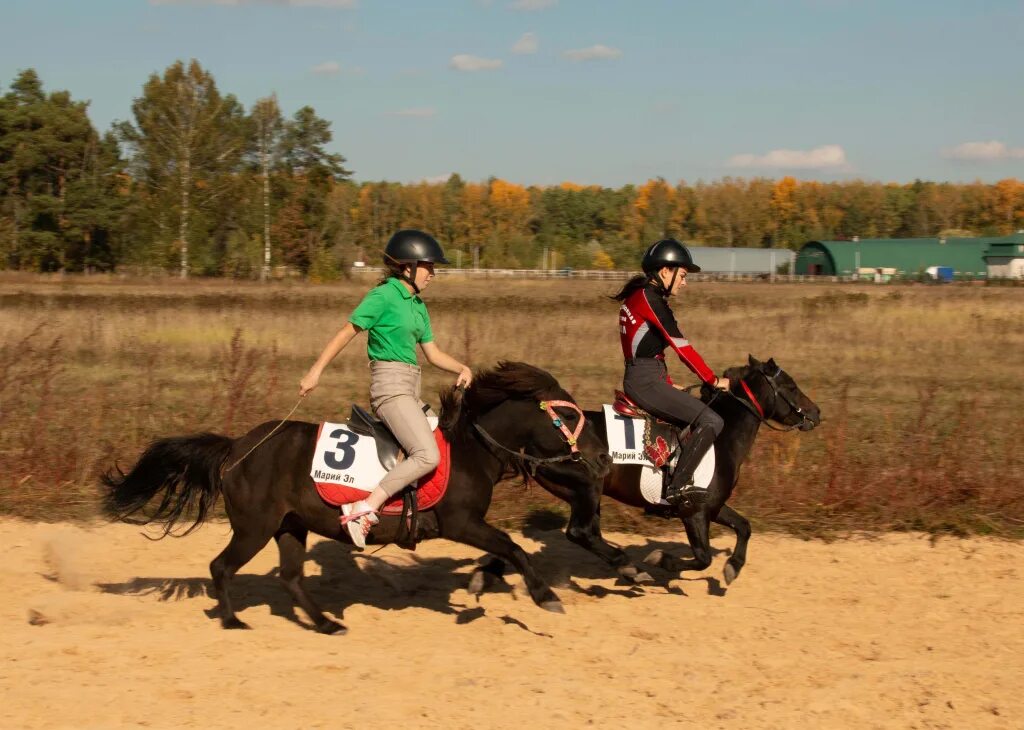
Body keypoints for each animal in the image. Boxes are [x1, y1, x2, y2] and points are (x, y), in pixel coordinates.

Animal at [101, 360, 606, 630]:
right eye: (568, 415)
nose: (602, 457)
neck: (469, 450)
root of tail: (237, 447)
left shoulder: (469, 526)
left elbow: (506, 550)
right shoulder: (462, 523)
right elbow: (513, 547)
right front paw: (544, 595)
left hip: (289, 526)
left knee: (291, 578)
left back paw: (326, 623)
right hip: (254, 527)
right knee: (221, 567)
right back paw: (232, 620)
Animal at [473, 356, 823, 589]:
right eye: (791, 386)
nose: (816, 413)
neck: (720, 439)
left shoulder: (713, 506)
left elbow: (744, 527)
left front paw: (733, 567)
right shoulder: (693, 512)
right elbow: (702, 557)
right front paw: (661, 561)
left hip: (581, 493)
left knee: (583, 534)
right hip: (587, 485)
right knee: (579, 532)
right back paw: (629, 568)